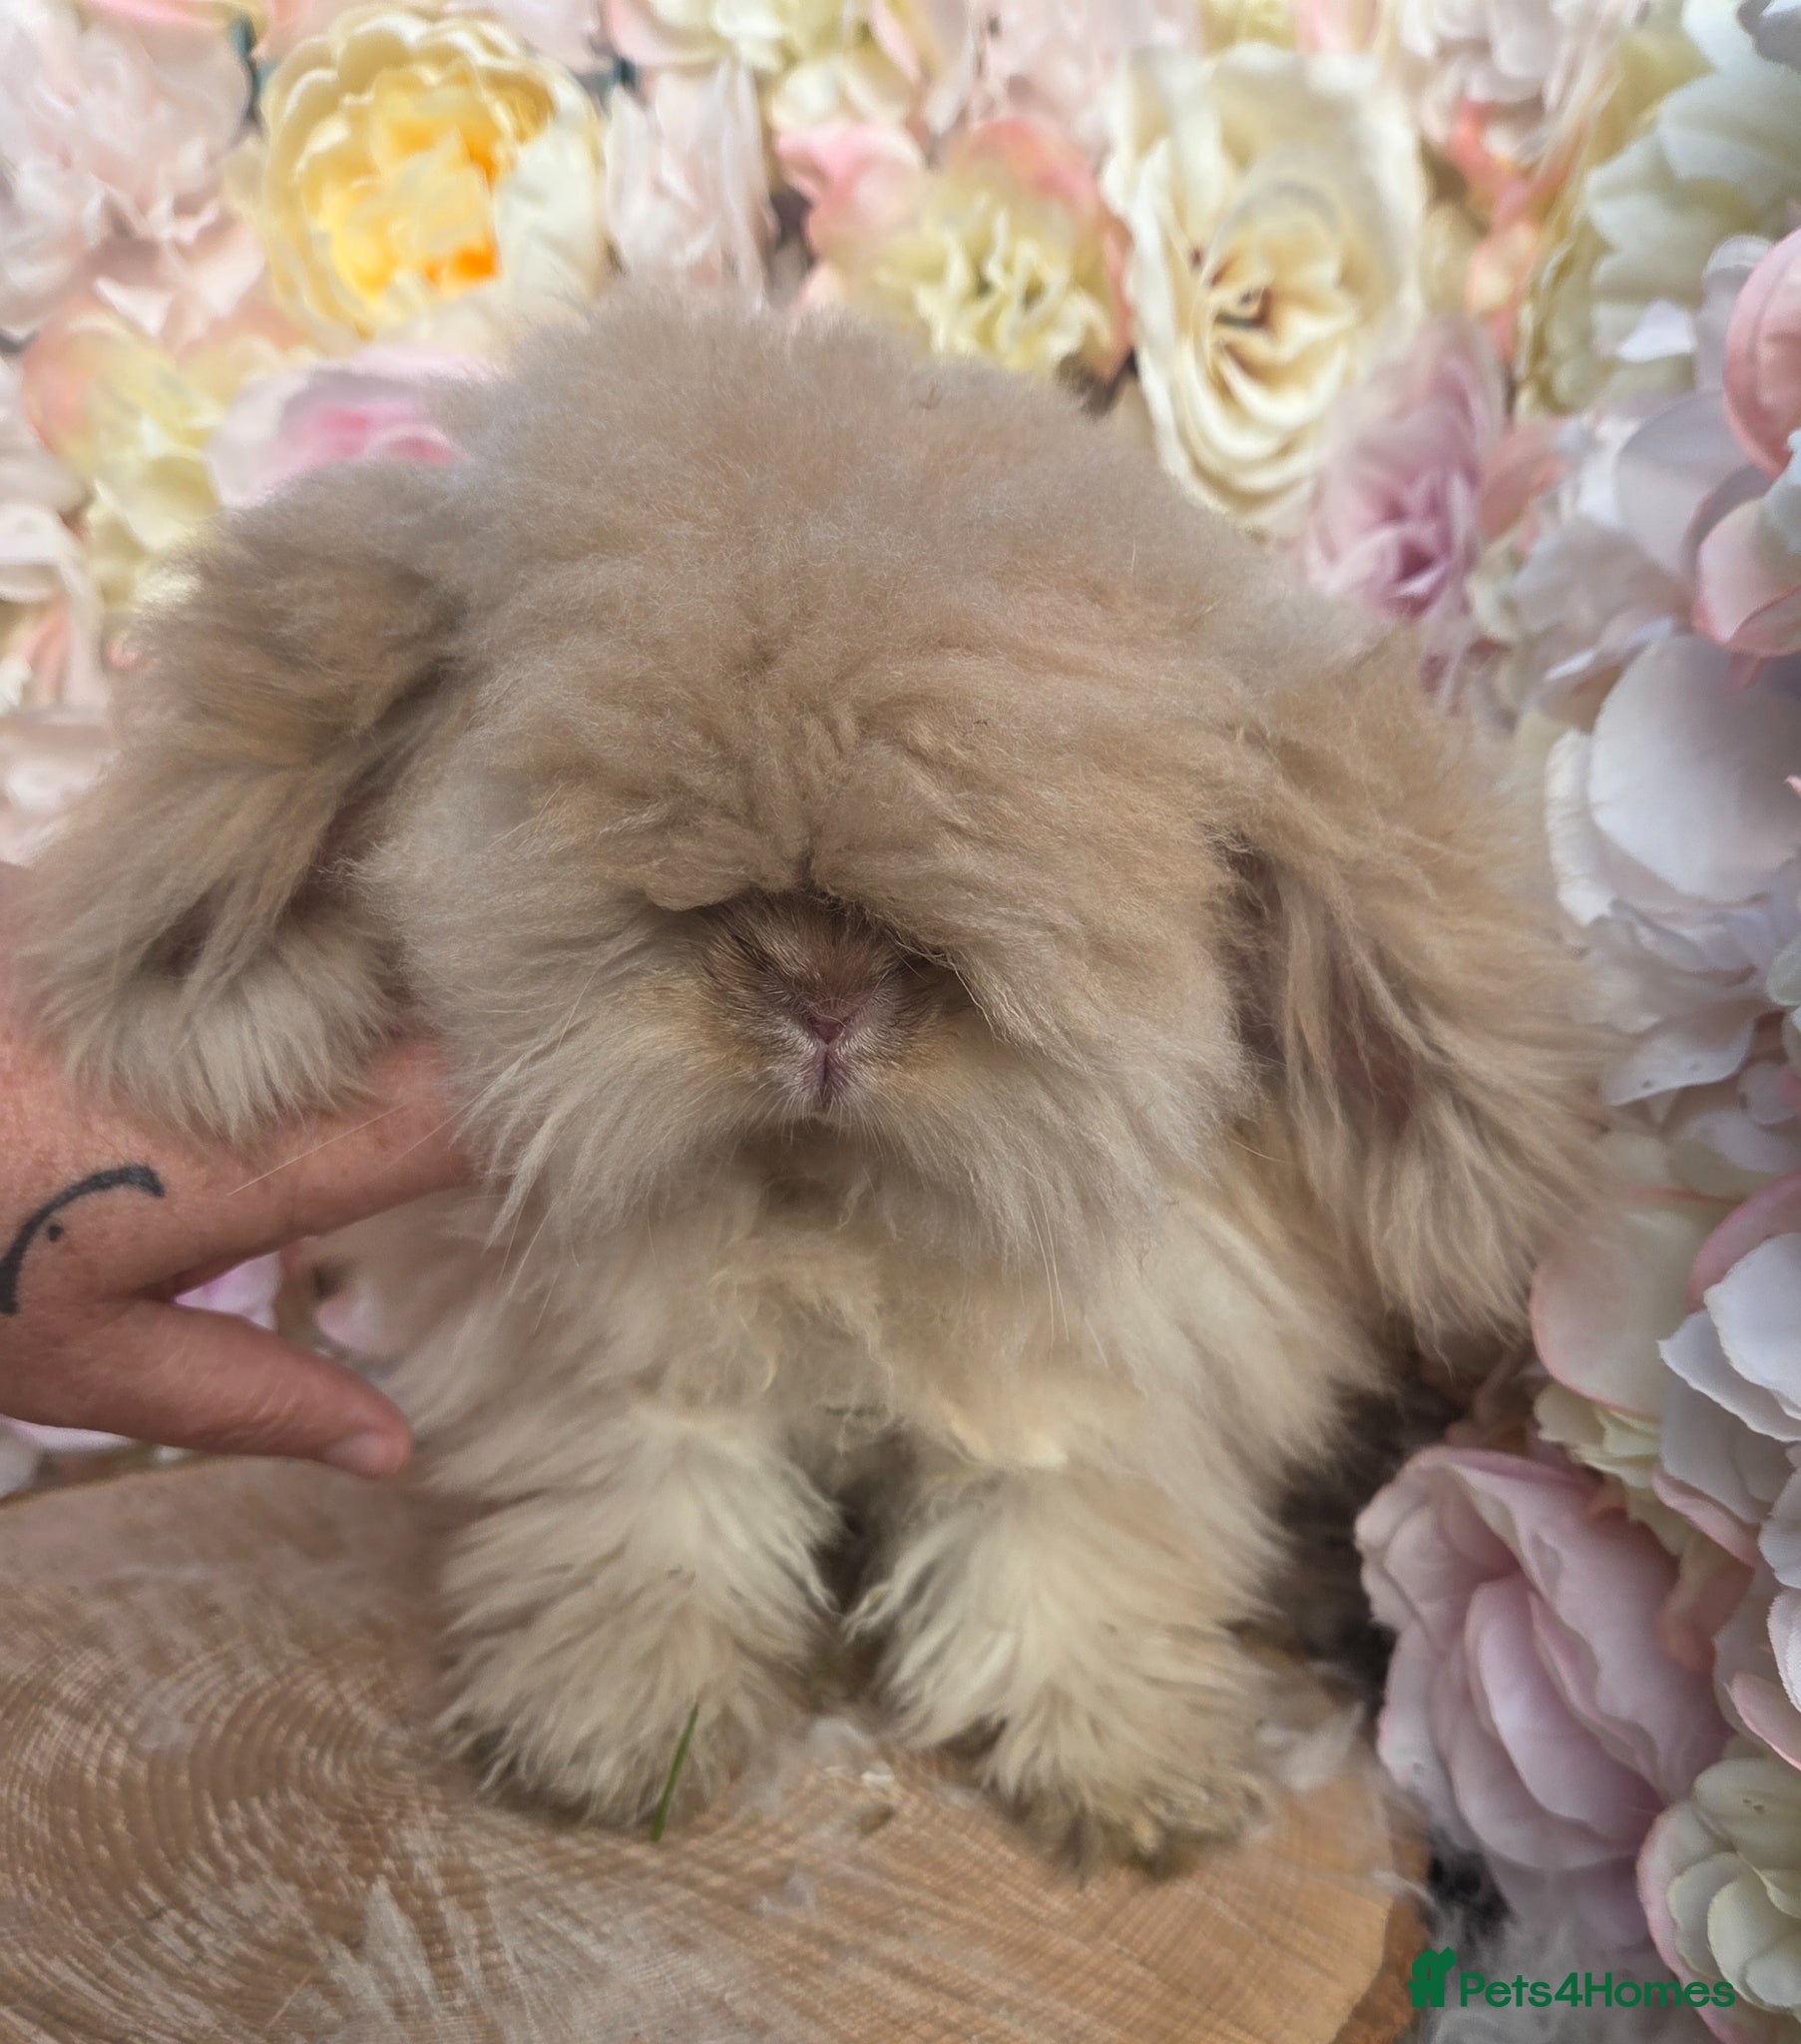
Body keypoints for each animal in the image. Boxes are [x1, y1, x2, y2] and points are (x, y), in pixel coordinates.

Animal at [21, 288, 1600, 1869]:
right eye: (559, 767)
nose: (822, 994)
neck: (826, 1202)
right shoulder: (622, 1367)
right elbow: (659, 1507)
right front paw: (609, 1735)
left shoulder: (1105, 1378)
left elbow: (1060, 1537)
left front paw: (1128, 1783)